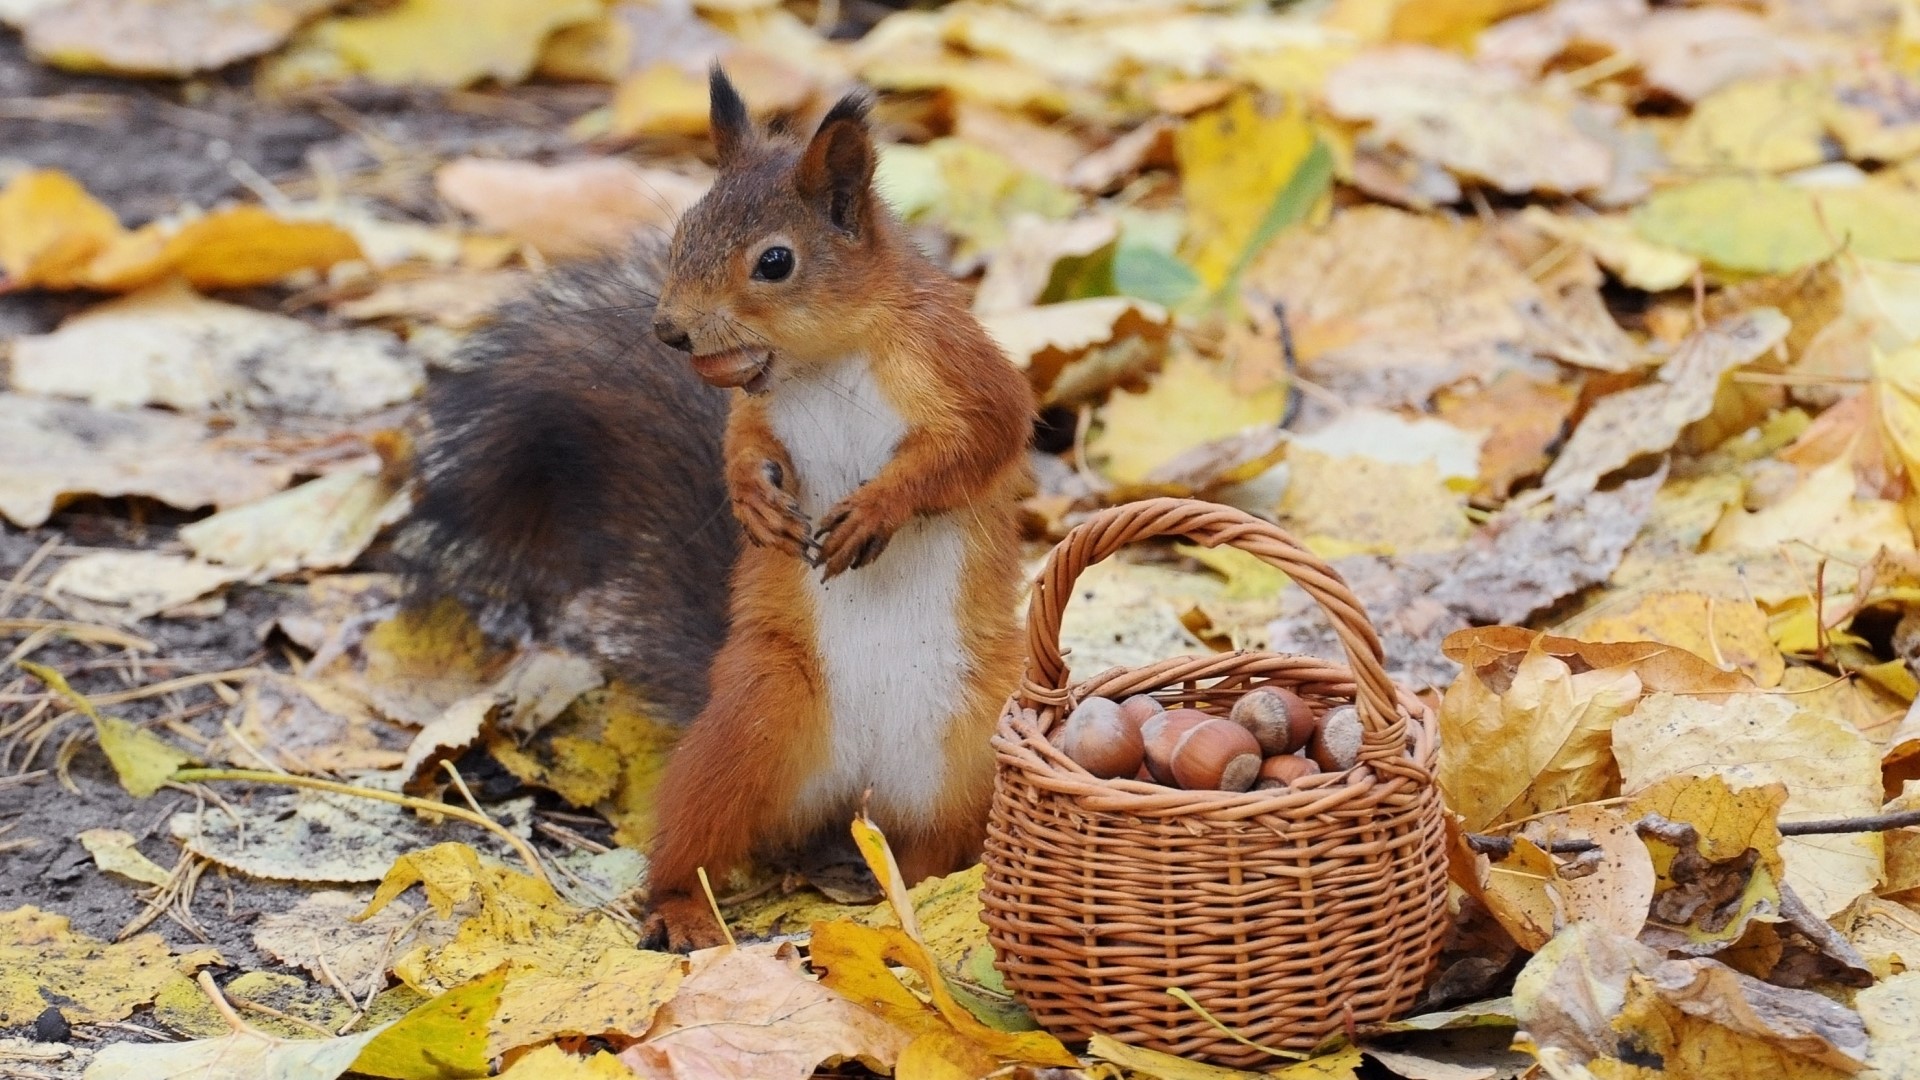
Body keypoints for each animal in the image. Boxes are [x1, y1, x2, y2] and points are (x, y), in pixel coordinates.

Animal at [400, 68, 1034, 950]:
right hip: (753, 718)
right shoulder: (760, 414)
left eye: (776, 261)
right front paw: (751, 502)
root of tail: (858, 792)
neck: (822, 361)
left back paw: (910, 892)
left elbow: (977, 444)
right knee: (697, 838)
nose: (668, 331)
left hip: (973, 752)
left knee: (938, 846)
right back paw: (684, 909)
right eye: (682, 232)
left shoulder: (964, 370)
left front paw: (877, 508)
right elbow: (740, 443)